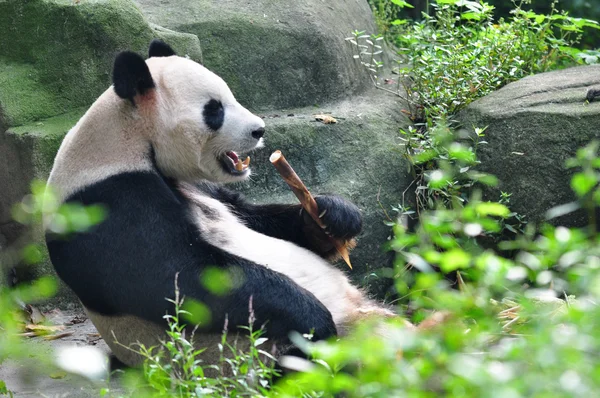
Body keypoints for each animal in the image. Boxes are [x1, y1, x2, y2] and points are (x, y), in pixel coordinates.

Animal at [44, 39, 396, 370]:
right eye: (214, 110)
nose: (259, 130)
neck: (129, 140)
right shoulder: (109, 201)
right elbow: (180, 275)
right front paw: (314, 319)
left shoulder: (200, 185)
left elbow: (252, 216)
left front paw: (334, 217)